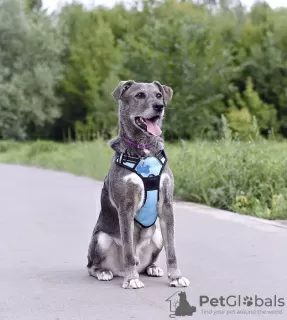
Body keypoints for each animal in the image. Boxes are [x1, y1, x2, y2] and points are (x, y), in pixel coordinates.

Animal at [88, 80, 191, 290]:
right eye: (140, 95)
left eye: (159, 95)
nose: (159, 107)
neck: (144, 151)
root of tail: (117, 270)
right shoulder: (126, 207)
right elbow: (128, 248)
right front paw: (131, 279)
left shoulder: (166, 205)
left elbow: (172, 249)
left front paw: (176, 277)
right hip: (101, 238)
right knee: (93, 266)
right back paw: (106, 272)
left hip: (157, 236)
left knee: (146, 262)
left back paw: (152, 268)